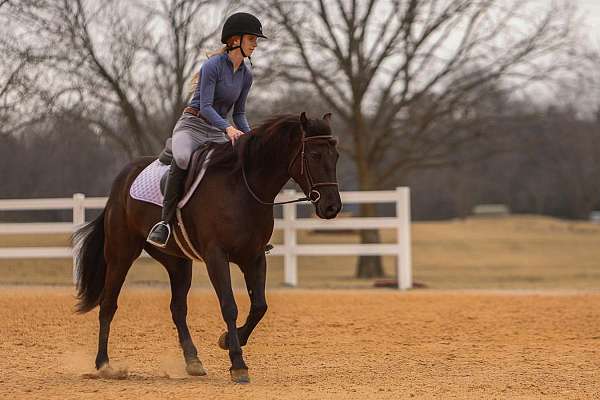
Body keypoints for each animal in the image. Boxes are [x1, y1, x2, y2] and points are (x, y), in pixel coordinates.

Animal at [72, 111, 342, 382]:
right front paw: (237, 363)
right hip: (121, 254)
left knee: (178, 308)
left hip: (177, 262)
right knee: (108, 304)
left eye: (336, 156)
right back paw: (104, 364)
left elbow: (259, 306)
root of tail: (122, 179)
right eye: (314, 155)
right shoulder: (216, 257)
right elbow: (229, 306)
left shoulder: (254, 257)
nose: (332, 207)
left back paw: (193, 361)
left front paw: (228, 340)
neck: (243, 188)